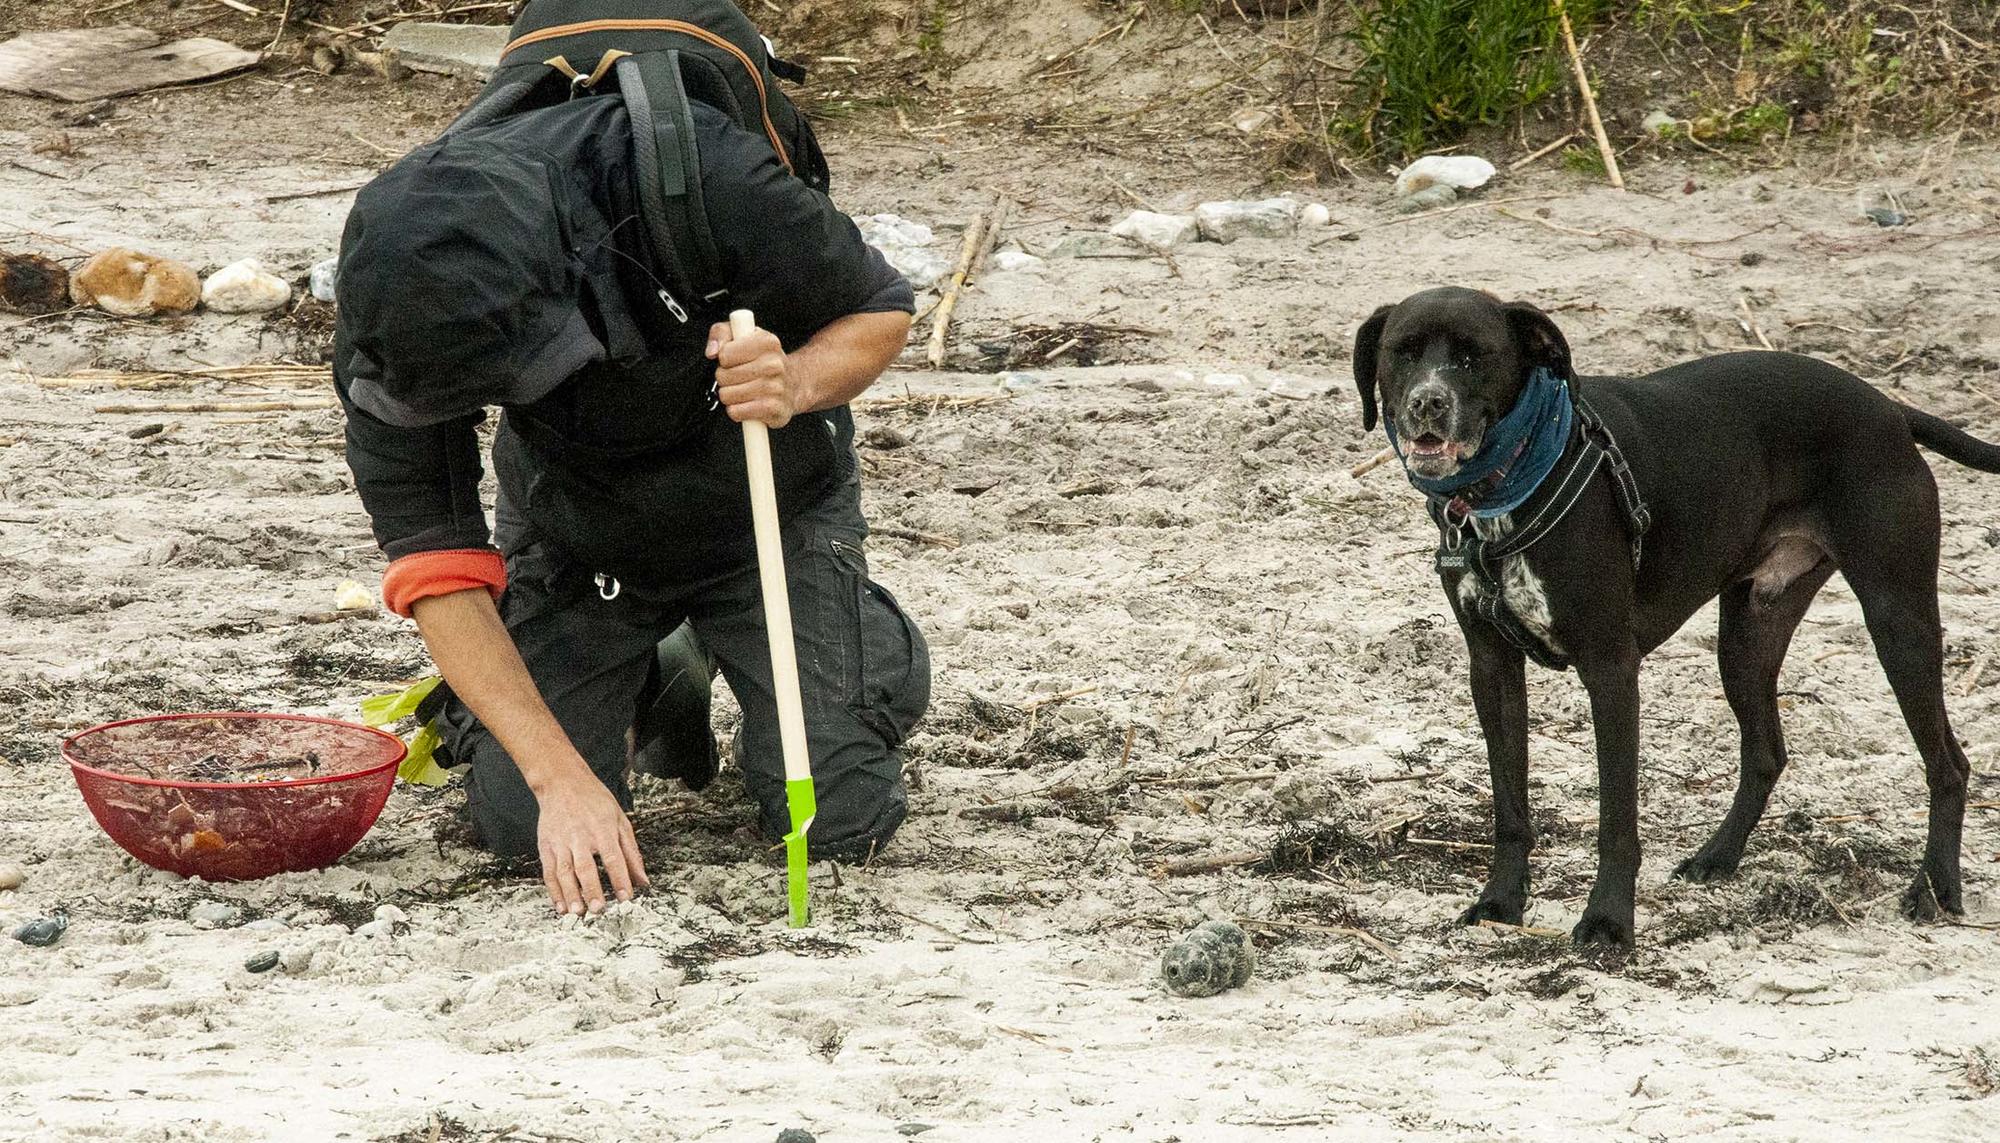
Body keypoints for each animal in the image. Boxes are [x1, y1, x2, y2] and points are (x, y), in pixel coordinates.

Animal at [1352, 287, 1992, 947]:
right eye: (1402, 353)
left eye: (1473, 357)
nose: (1427, 401)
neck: (1510, 483)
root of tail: (1888, 407)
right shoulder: (1493, 669)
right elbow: (1510, 809)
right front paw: (1502, 900)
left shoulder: (1610, 670)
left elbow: (1616, 820)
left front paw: (1608, 920)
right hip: (1747, 638)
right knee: (1766, 753)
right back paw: (1718, 857)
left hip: (1898, 621)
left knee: (1950, 765)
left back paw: (1936, 888)